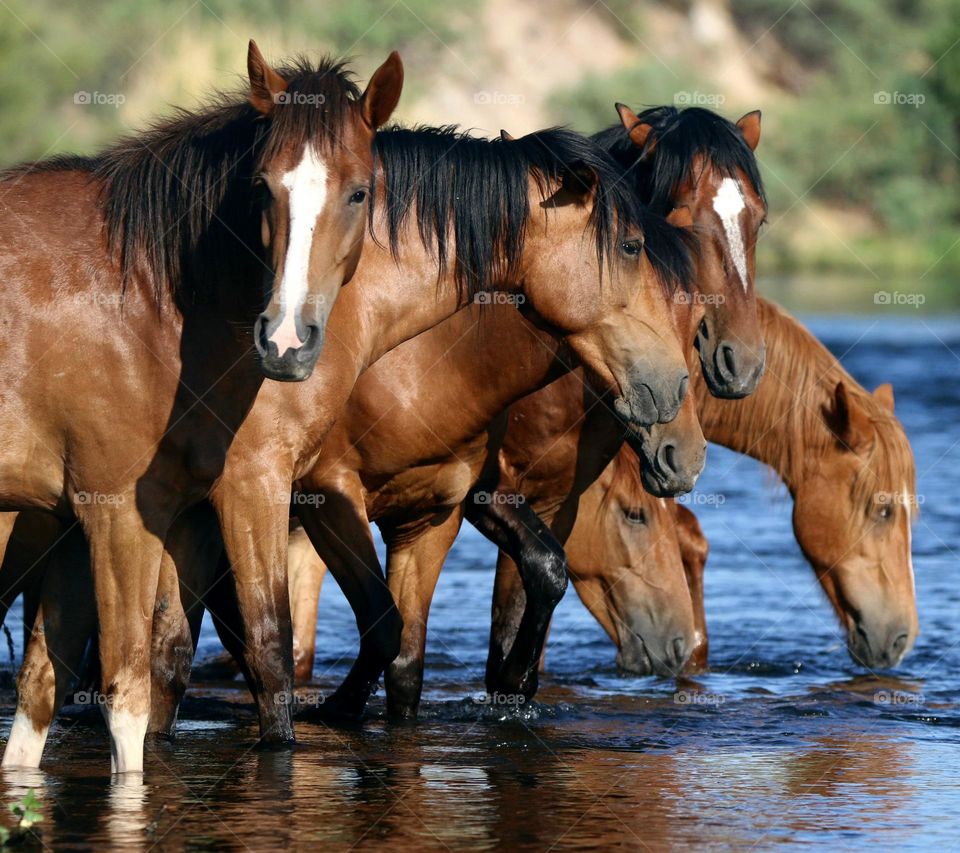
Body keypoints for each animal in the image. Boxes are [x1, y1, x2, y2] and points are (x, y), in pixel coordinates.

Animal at [0, 41, 404, 773]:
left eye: (359, 191)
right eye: (262, 186)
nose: (286, 339)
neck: (144, 299)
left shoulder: (86, 523)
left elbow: (43, 693)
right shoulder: (118, 515)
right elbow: (127, 702)